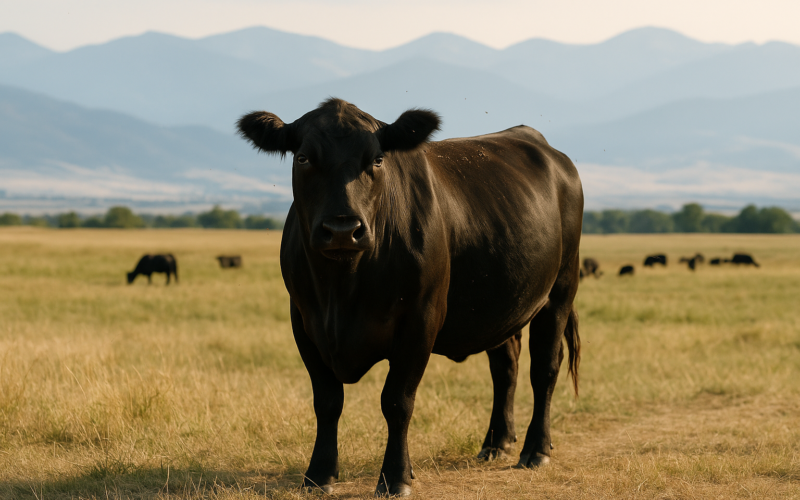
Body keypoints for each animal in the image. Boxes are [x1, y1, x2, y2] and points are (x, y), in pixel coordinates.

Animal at [237, 98, 583, 497]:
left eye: (376, 160)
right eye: (304, 158)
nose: (342, 229)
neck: (342, 289)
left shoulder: (420, 322)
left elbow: (397, 401)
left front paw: (396, 477)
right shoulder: (304, 322)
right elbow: (327, 401)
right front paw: (319, 474)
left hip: (560, 291)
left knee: (544, 368)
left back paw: (535, 449)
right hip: (501, 303)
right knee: (505, 366)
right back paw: (497, 442)